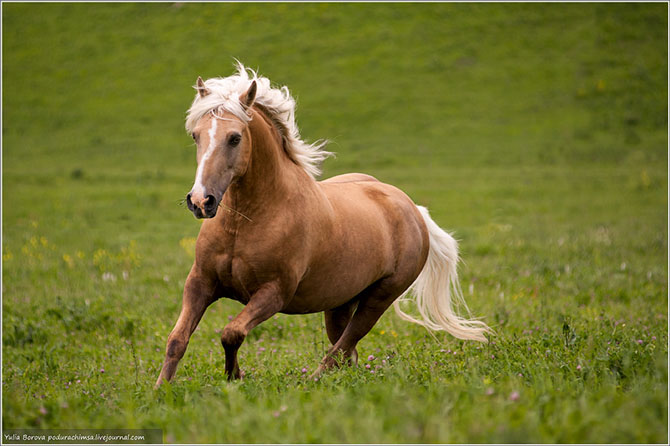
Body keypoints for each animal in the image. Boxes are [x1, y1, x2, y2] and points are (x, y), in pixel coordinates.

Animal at [158, 62, 494, 386]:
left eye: (234, 138)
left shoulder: (273, 293)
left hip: (379, 299)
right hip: (340, 303)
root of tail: (412, 208)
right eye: (195, 135)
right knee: (348, 353)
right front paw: (162, 390)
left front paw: (234, 378)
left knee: (341, 350)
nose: (201, 201)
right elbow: (177, 340)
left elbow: (232, 333)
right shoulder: (200, 282)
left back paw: (313, 381)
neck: (246, 222)